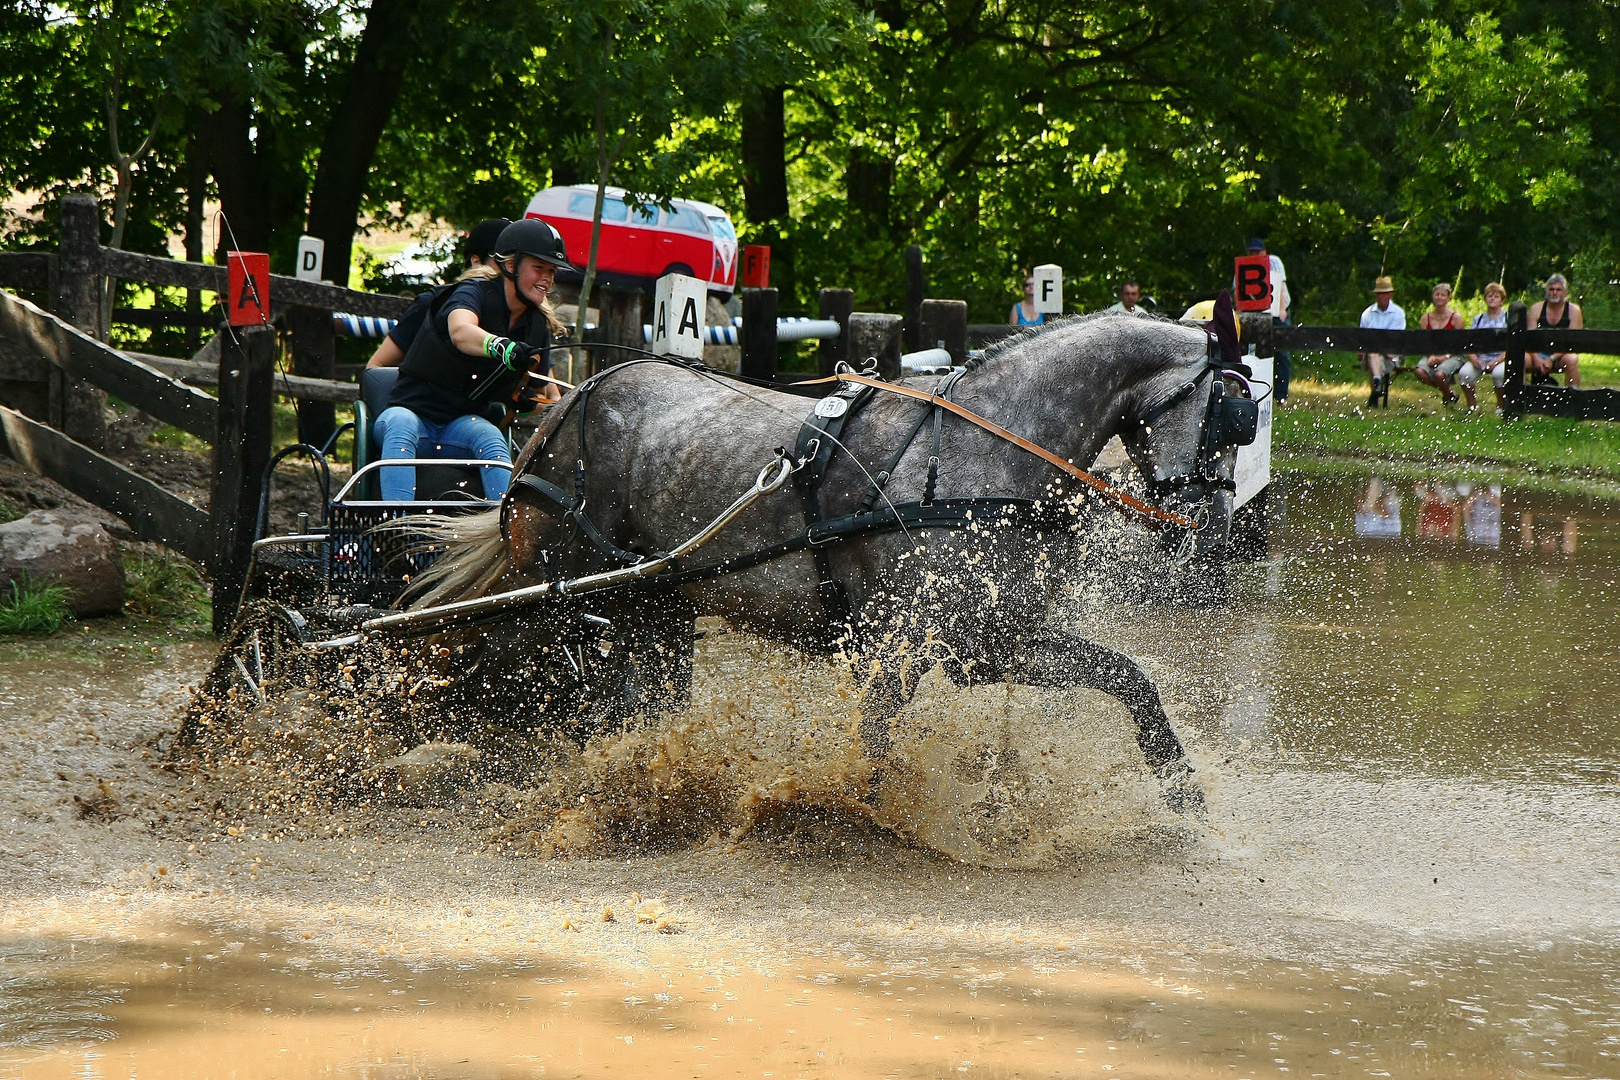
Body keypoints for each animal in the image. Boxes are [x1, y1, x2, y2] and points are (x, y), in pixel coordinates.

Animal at [408, 312, 1237, 809]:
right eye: (1229, 417)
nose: (1214, 531)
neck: (986, 447)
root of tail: (567, 400)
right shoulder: (907, 644)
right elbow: (872, 746)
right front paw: (862, 816)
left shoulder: (988, 644)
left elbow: (1130, 680)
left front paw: (1183, 798)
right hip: (548, 584)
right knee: (474, 658)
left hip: (656, 604)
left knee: (630, 705)